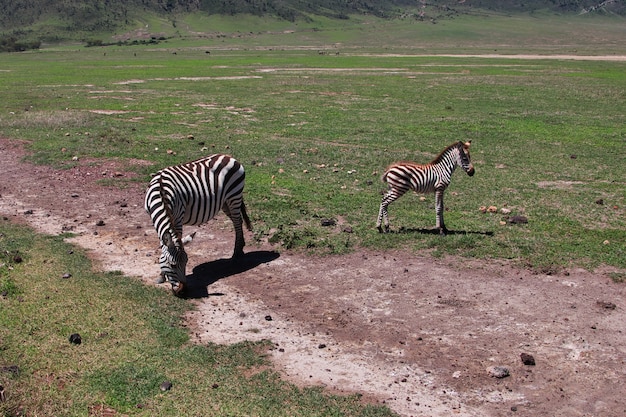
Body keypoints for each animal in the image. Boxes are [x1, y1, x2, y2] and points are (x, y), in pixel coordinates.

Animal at [144, 154, 251, 296]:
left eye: (186, 263)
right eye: (173, 265)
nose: (183, 291)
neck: (160, 192)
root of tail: (229, 156)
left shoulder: (178, 217)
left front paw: (162, 275)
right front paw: (161, 276)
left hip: (234, 195)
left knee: (238, 221)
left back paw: (237, 252)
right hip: (225, 202)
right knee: (236, 220)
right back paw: (240, 247)